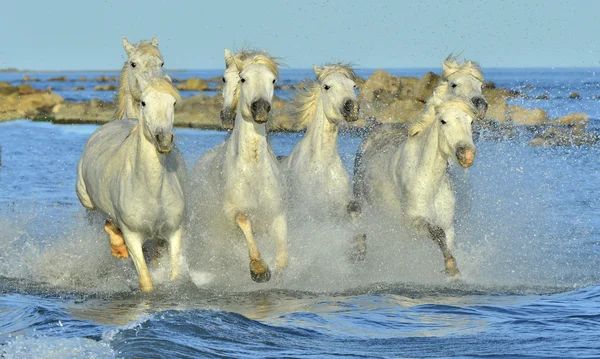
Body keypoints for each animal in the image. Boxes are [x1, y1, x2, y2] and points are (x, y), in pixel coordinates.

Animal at [77, 76, 185, 292]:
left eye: (173, 103)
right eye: (144, 103)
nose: (163, 140)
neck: (151, 190)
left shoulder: (174, 233)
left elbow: (174, 275)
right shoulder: (133, 236)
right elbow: (145, 280)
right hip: (87, 202)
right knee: (106, 220)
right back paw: (118, 247)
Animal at [190, 52, 288, 284]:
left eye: (273, 80)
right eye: (244, 79)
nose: (260, 108)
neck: (253, 170)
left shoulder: (277, 213)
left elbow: (282, 255)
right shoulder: (233, 213)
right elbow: (244, 220)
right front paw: (259, 269)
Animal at [282, 64, 366, 260]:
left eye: (353, 86)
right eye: (327, 86)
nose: (352, 108)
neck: (322, 165)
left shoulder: (340, 206)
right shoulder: (307, 211)